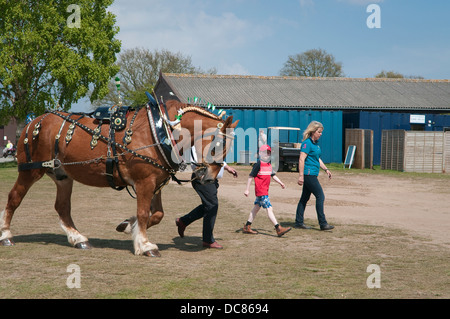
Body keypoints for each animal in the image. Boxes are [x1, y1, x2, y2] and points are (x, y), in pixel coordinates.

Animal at [0, 99, 239, 258]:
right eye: (218, 144)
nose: (208, 177)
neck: (159, 131)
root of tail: (33, 122)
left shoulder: (155, 184)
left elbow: (157, 214)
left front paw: (127, 226)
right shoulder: (144, 182)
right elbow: (143, 213)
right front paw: (144, 245)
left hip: (63, 176)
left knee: (62, 207)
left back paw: (78, 239)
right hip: (30, 171)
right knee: (14, 199)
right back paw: (6, 235)